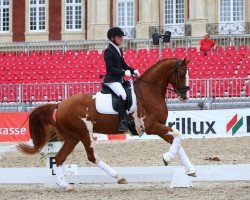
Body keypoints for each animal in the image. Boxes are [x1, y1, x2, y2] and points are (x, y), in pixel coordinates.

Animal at [18, 57, 196, 189]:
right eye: (182, 74)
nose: (185, 97)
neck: (149, 92)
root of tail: (60, 104)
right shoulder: (152, 127)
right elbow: (178, 135)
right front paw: (167, 158)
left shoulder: (159, 128)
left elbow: (178, 143)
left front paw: (190, 170)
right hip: (84, 133)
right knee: (91, 156)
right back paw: (119, 176)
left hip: (72, 137)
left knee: (60, 158)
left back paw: (64, 185)